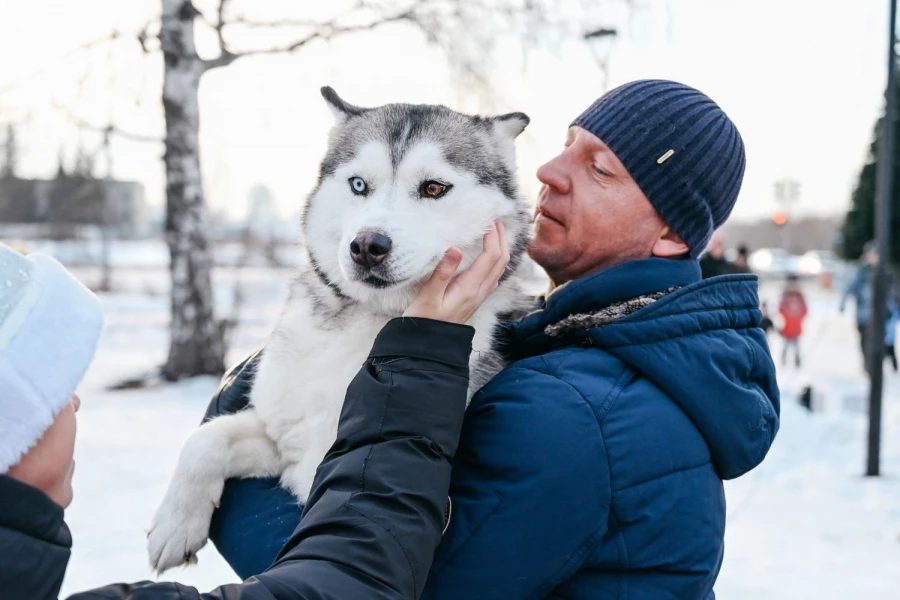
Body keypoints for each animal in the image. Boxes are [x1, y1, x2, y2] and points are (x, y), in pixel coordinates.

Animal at [144, 88, 532, 572]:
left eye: (434, 188)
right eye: (359, 185)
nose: (367, 245)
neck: (371, 325)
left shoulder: (318, 476)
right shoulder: (283, 437)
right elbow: (206, 437)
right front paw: (174, 526)